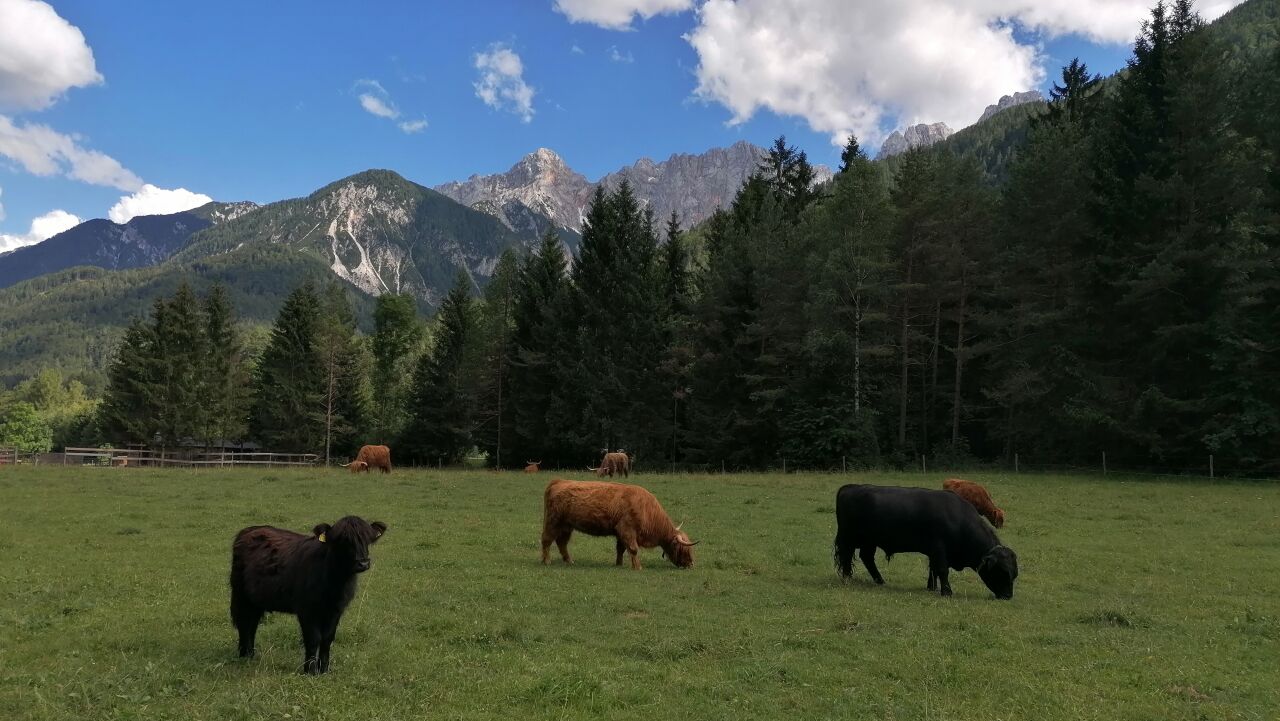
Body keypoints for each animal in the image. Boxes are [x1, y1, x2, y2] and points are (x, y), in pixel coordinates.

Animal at [227, 517, 384, 676]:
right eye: (344, 540)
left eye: (367, 539)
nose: (363, 563)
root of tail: (249, 530)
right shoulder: (307, 610)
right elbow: (313, 639)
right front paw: (310, 670)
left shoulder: (336, 611)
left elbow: (327, 639)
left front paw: (324, 670)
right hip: (240, 595)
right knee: (244, 623)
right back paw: (244, 655)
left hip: (256, 600)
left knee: (252, 623)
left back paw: (250, 654)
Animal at [540, 476, 701, 573]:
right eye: (683, 549)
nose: (691, 564)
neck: (648, 511)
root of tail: (559, 481)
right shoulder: (627, 529)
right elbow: (633, 549)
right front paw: (638, 567)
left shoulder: (620, 533)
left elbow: (620, 549)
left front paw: (619, 564)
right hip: (553, 522)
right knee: (546, 540)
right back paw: (546, 561)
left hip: (567, 526)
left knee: (562, 543)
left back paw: (569, 561)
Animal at [829, 489, 1018, 601]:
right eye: (1003, 572)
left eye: (1014, 574)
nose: (1008, 596)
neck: (959, 520)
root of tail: (848, 488)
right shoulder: (940, 549)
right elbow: (942, 569)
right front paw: (947, 592)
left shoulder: (934, 551)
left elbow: (933, 569)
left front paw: (932, 587)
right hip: (849, 539)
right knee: (847, 558)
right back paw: (847, 578)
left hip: (870, 541)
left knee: (866, 558)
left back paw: (880, 580)